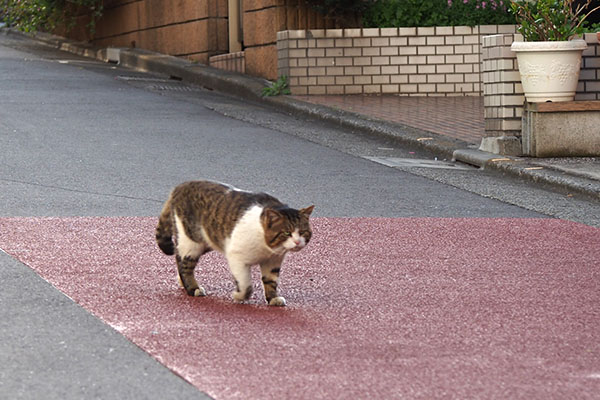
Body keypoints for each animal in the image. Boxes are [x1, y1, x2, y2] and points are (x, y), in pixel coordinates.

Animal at [155, 181, 314, 306]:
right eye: (287, 233)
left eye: (303, 232)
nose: (297, 241)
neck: (267, 248)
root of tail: (180, 186)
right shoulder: (236, 257)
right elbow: (246, 285)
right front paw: (238, 296)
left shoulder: (272, 262)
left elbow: (271, 281)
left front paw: (272, 298)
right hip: (192, 241)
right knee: (184, 264)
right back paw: (193, 289)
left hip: (208, 241)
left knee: (179, 257)